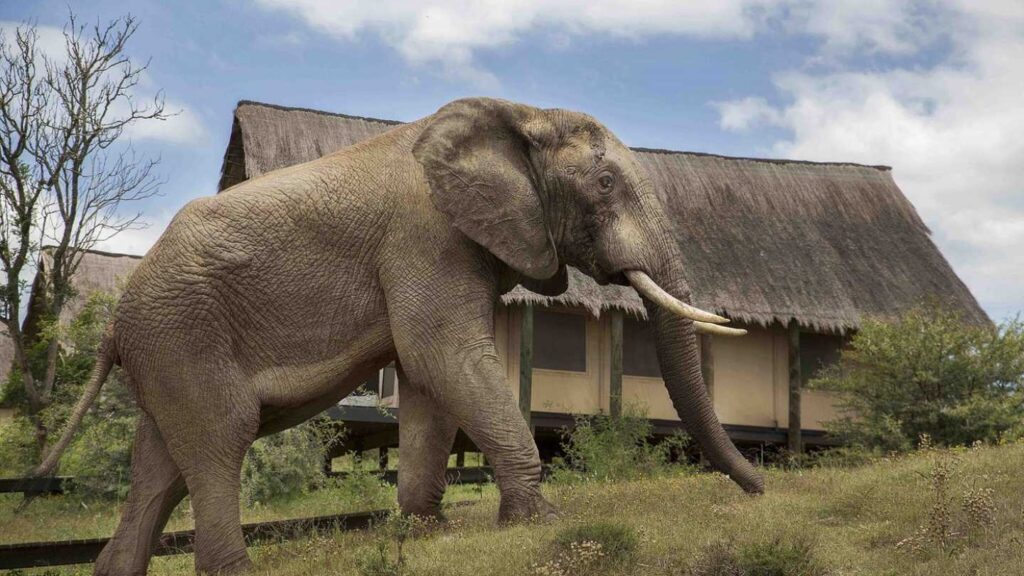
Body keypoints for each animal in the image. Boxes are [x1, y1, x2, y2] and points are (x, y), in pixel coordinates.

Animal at [37, 97, 764, 575]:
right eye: (606, 184)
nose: (762, 491)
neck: (521, 113)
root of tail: (114, 320)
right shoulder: (427, 235)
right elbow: (442, 355)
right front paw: (542, 522)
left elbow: (428, 381)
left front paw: (428, 531)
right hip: (182, 332)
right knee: (219, 439)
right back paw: (236, 571)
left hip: (166, 347)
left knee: (160, 466)